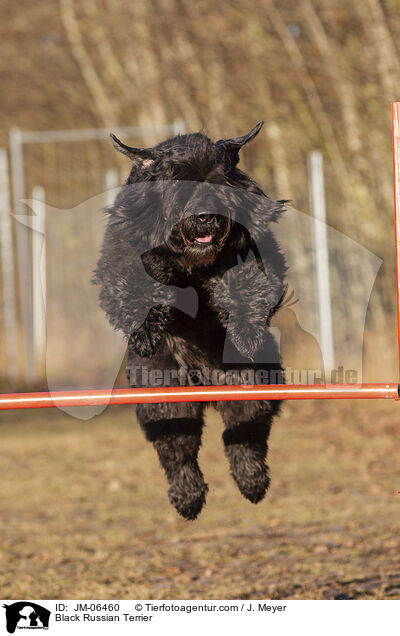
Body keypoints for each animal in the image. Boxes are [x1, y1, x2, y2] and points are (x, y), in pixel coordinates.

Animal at [95, 121, 286, 520]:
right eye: (178, 182)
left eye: (218, 180)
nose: (204, 216)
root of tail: (204, 380)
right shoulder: (121, 254)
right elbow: (133, 280)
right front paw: (147, 329)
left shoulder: (257, 252)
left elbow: (249, 281)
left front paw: (245, 331)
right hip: (166, 397)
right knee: (178, 452)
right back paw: (188, 497)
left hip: (249, 385)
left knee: (243, 435)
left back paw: (251, 481)